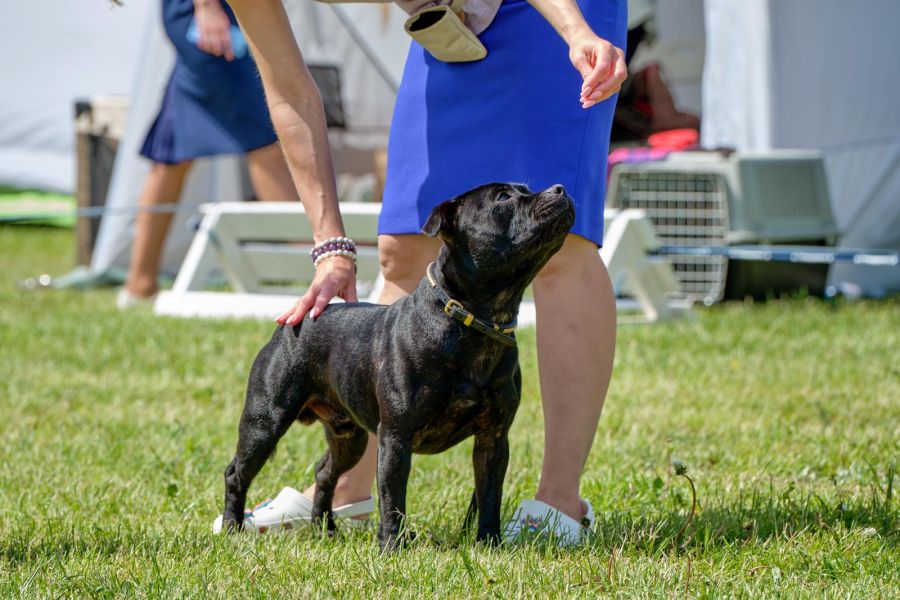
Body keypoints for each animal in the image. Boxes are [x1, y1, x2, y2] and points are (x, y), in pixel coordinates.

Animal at [221, 182, 572, 548]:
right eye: (503, 198)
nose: (560, 188)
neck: (474, 321)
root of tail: (298, 319)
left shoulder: (493, 439)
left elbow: (489, 496)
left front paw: (489, 543)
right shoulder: (395, 438)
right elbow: (393, 499)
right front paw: (392, 546)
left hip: (350, 437)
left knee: (325, 471)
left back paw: (325, 529)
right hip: (265, 423)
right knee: (236, 473)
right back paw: (232, 529)